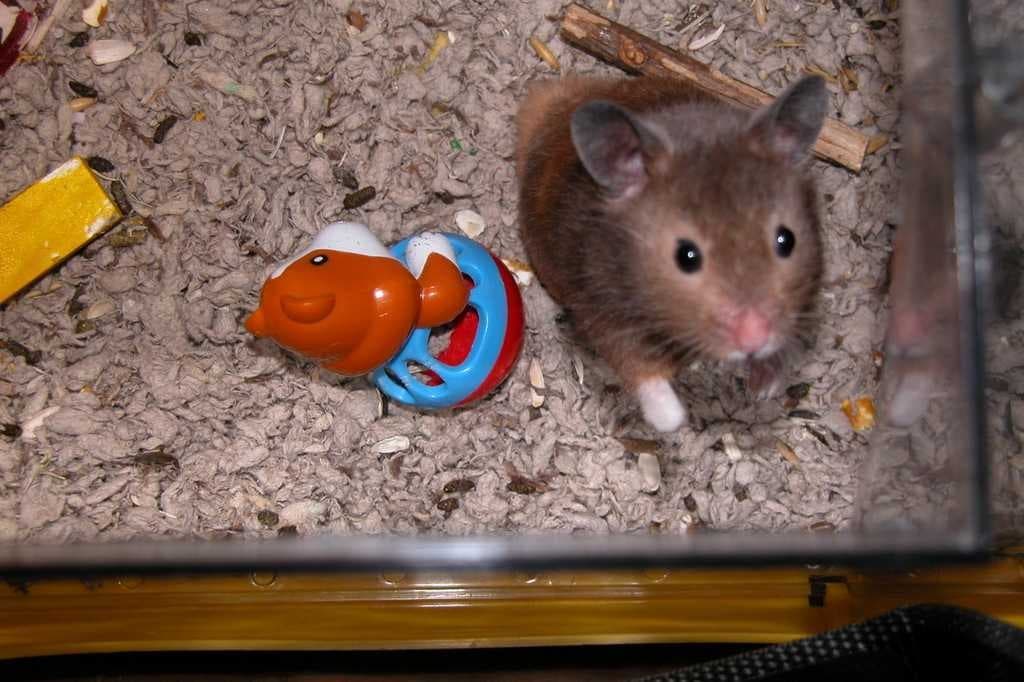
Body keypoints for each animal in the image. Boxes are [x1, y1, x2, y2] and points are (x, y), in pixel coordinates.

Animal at [515, 75, 828, 432]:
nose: (754, 339)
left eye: (786, 240)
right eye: (686, 256)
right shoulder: (603, 310)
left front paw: (764, 388)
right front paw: (677, 422)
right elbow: (642, 373)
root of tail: (555, 103)